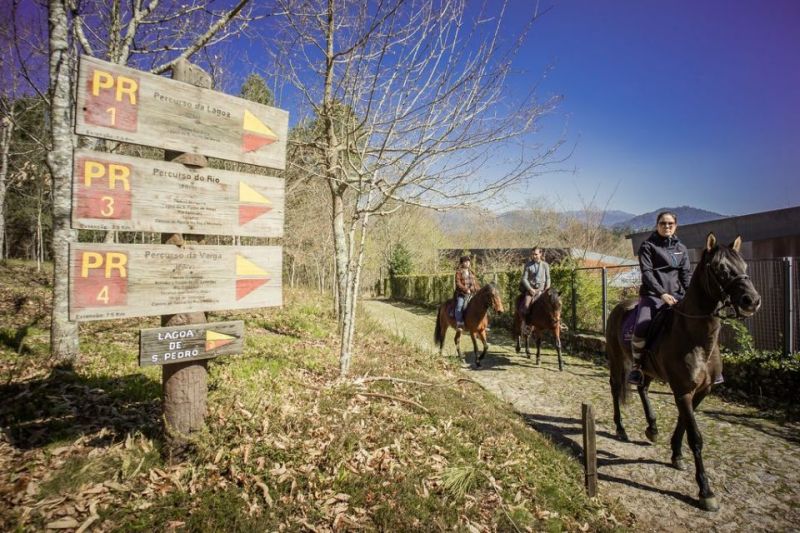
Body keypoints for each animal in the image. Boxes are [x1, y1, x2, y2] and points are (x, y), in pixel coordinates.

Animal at [608, 234, 764, 512]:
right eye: (721, 268)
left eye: (744, 265)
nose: (752, 300)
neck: (696, 337)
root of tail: (619, 307)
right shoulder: (682, 391)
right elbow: (696, 437)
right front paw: (705, 491)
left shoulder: (699, 391)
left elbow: (683, 423)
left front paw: (676, 454)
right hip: (617, 360)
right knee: (616, 389)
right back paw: (621, 428)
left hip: (647, 369)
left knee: (642, 388)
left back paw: (652, 427)